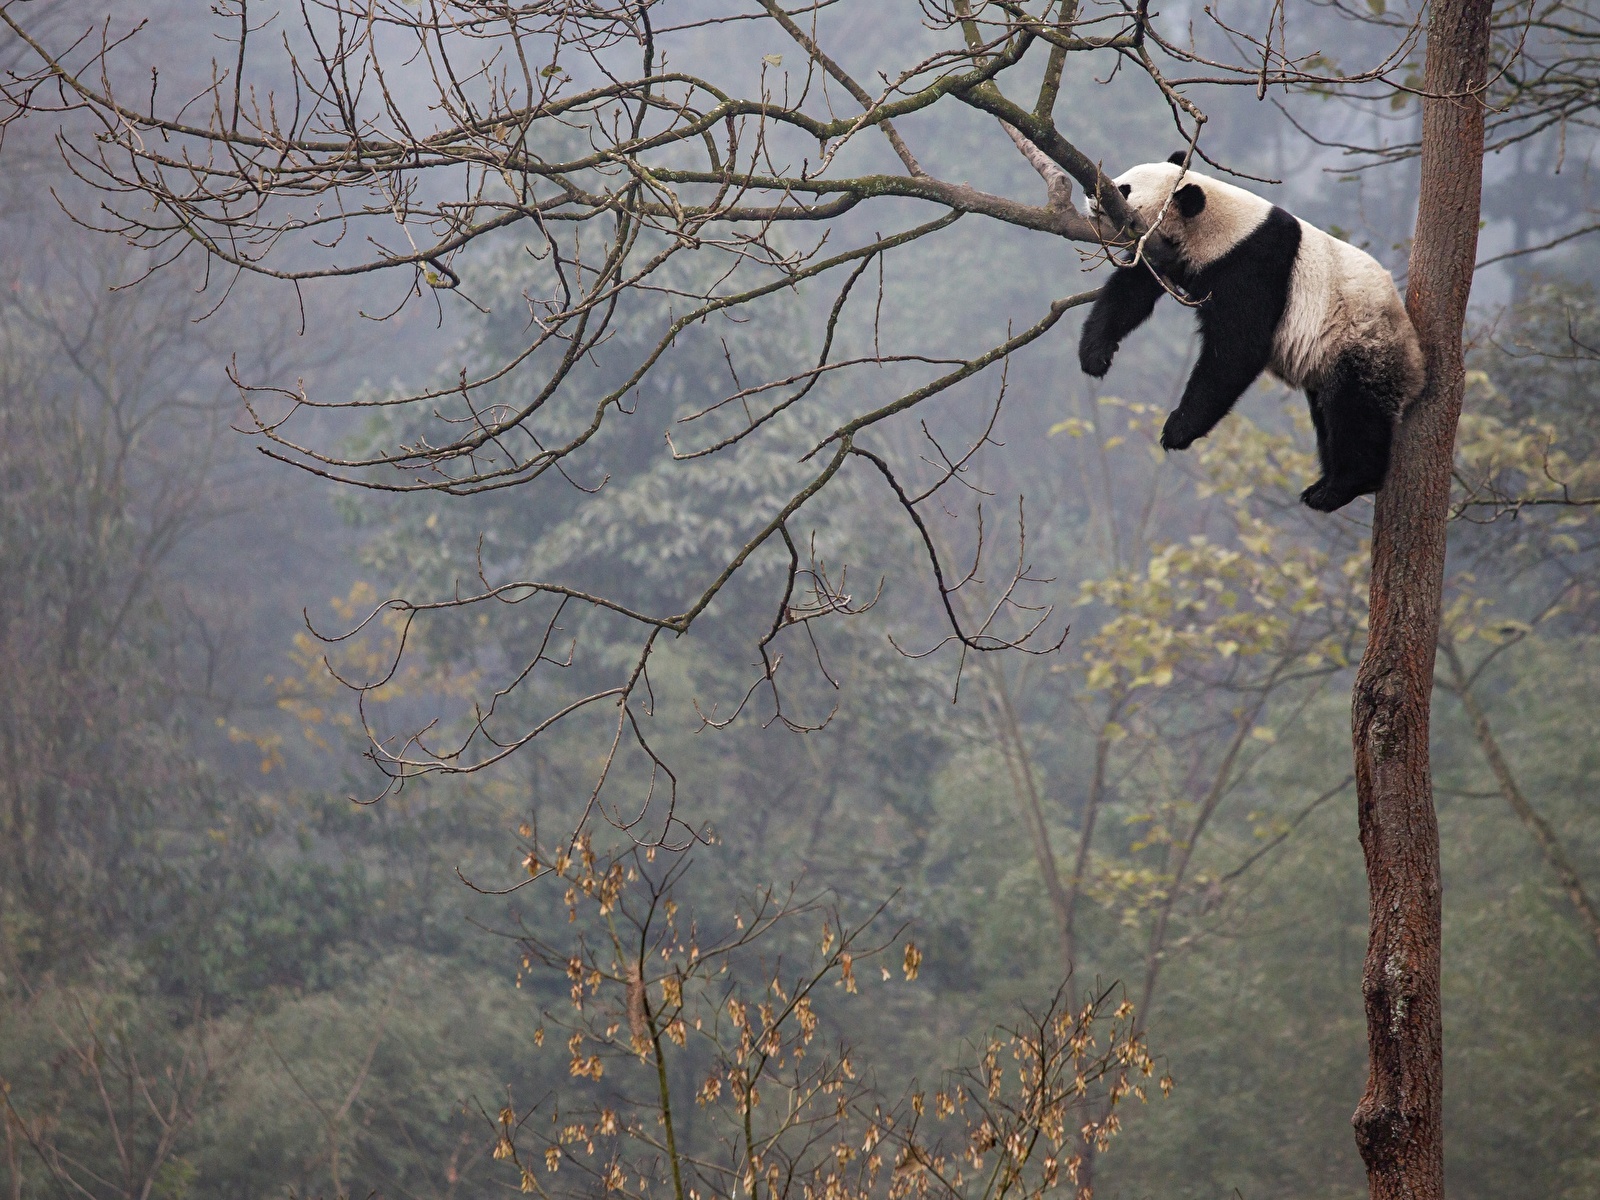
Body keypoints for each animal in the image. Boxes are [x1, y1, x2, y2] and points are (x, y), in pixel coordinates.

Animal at [1078, 154, 1425, 512]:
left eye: (1123, 188)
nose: (1090, 192)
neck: (1221, 226)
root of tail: (1418, 370)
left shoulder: (1252, 264)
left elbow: (1238, 348)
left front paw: (1178, 430)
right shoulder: (1164, 251)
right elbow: (1132, 290)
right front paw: (1096, 354)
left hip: (1363, 340)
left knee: (1355, 411)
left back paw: (1340, 488)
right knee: (1328, 415)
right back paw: (1324, 485)